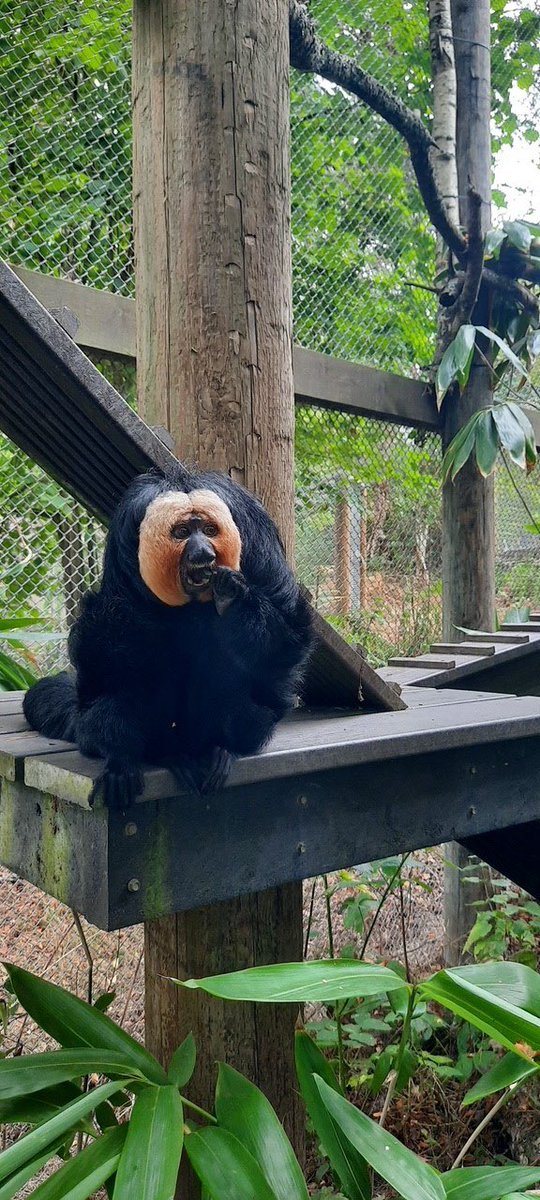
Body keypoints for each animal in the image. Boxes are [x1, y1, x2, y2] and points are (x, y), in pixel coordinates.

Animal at [23, 466, 314, 808]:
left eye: (210, 530)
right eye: (183, 532)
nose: (203, 552)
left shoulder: (257, 538)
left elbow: (286, 638)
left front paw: (229, 594)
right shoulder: (123, 544)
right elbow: (105, 657)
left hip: (251, 721)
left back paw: (221, 750)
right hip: (96, 724)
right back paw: (148, 755)